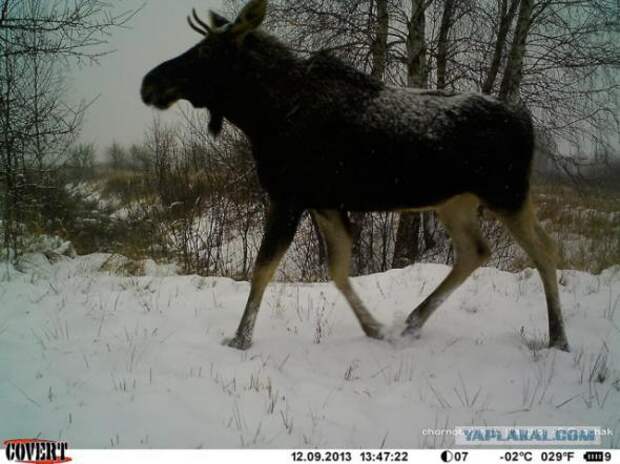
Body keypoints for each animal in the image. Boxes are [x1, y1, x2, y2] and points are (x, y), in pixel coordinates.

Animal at [143, 0, 568, 350]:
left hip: (507, 193)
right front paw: (374, 328)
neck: (263, 115)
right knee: (476, 250)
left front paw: (240, 339)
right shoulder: (324, 202)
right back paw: (413, 320)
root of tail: (527, 121)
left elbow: (263, 269)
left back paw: (558, 338)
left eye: (207, 50)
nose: (149, 82)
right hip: (455, 201)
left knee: (545, 250)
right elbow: (338, 268)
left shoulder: (288, 196)